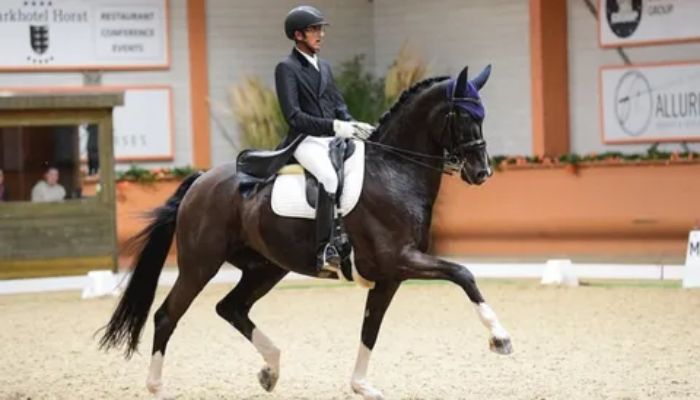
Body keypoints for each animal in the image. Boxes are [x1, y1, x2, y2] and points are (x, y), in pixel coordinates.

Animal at [100, 64, 516, 398]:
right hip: (200, 264)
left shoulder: (389, 276)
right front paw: (500, 338)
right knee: (167, 315)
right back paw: (157, 386)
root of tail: (201, 180)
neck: (395, 170)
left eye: (481, 115)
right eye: (460, 114)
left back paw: (271, 368)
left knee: (231, 307)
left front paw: (361, 386)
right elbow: (463, 273)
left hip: (266, 267)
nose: (481, 172)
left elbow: (370, 329)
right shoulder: (400, 260)